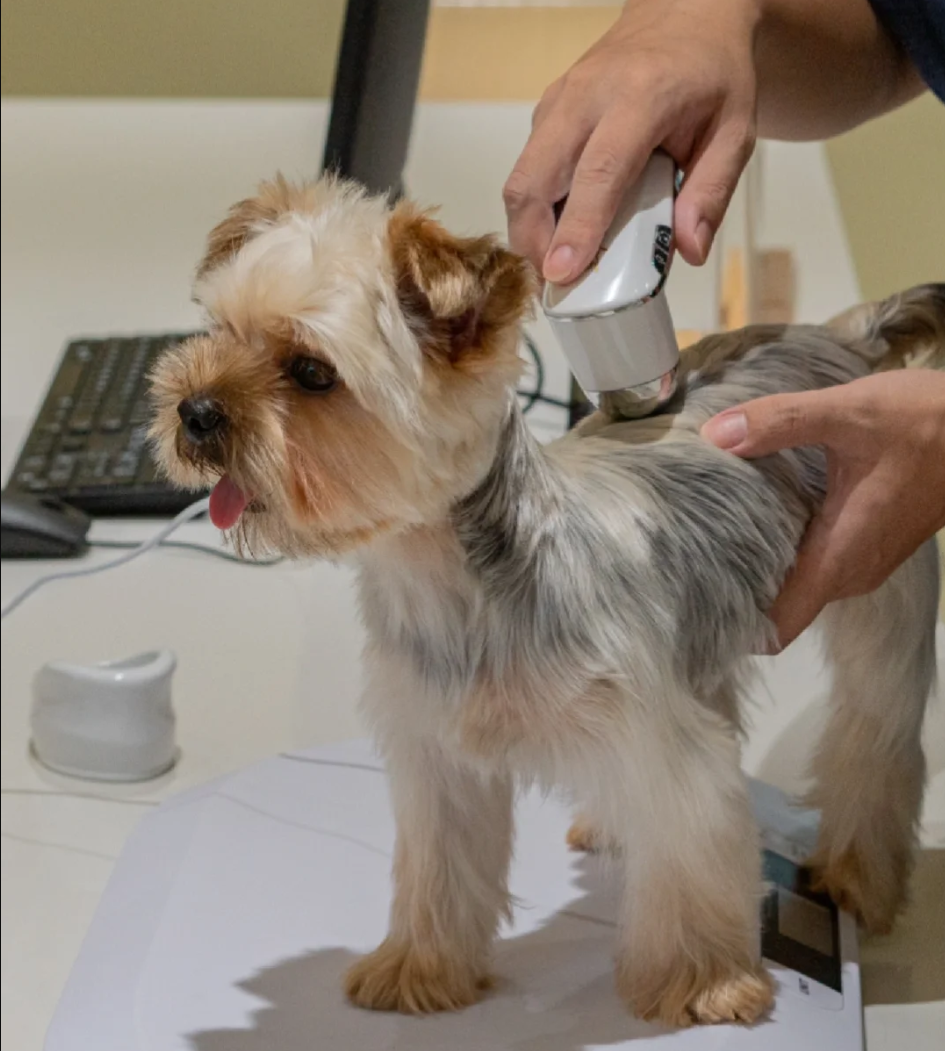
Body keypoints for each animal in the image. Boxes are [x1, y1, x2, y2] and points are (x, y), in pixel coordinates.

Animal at [149, 175, 942, 1028]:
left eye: (310, 371)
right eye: (218, 331)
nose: (194, 410)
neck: (451, 584)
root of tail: (848, 339)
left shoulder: (664, 747)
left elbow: (694, 851)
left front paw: (703, 983)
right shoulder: (439, 759)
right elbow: (440, 870)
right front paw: (421, 967)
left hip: (880, 572)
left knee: (876, 734)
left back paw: (857, 875)